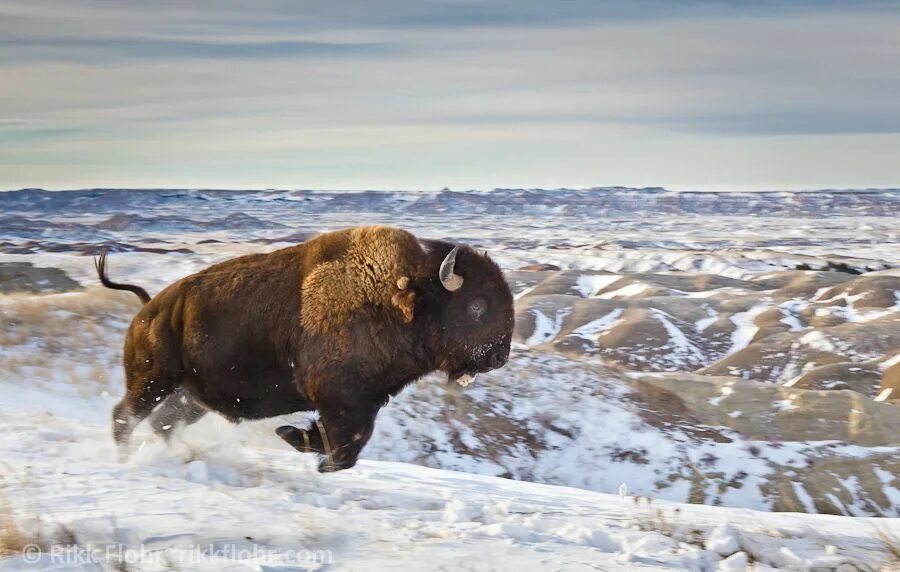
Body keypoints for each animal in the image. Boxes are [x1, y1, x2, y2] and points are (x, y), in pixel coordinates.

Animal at [97, 226, 512, 472]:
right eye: (477, 305)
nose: (500, 356)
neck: (400, 296)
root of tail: (149, 310)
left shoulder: (364, 402)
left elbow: (348, 443)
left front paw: (297, 439)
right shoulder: (341, 399)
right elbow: (345, 445)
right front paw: (301, 444)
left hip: (190, 396)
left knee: (163, 421)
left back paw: (181, 456)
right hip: (153, 381)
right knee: (125, 416)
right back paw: (124, 462)